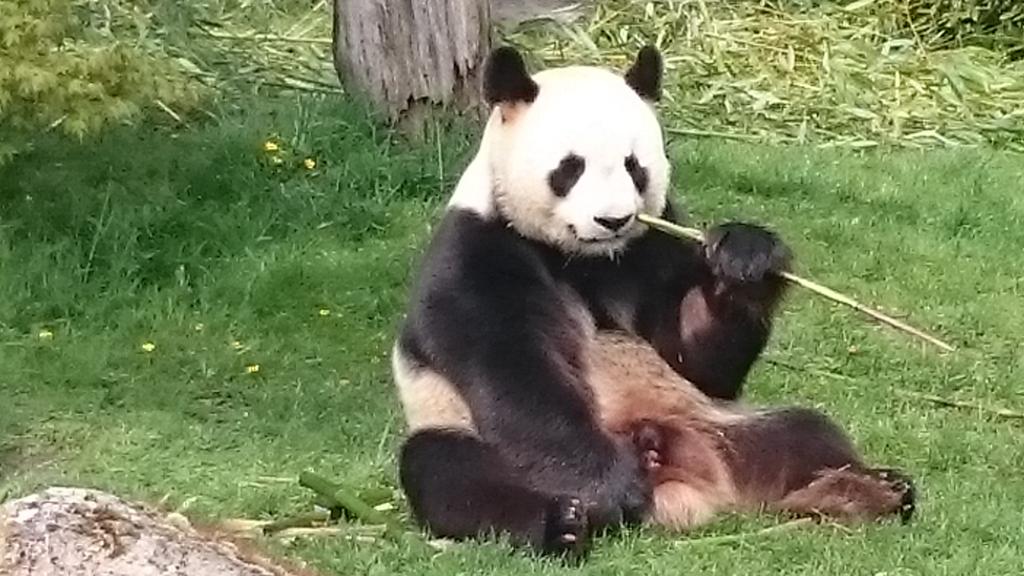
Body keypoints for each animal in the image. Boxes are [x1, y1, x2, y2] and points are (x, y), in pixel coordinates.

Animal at [391, 45, 915, 558]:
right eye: (571, 167)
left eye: (633, 166)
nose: (613, 219)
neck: (586, 258)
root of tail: (689, 489)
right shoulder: (480, 251)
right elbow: (518, 373)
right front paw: (612, 487)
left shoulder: (655, 247)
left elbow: (694, 356)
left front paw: (745, 256)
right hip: (458, 425)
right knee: (448, 472)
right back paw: (564, 522)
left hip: (717, 423)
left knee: (805, 432)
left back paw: (865, 490)